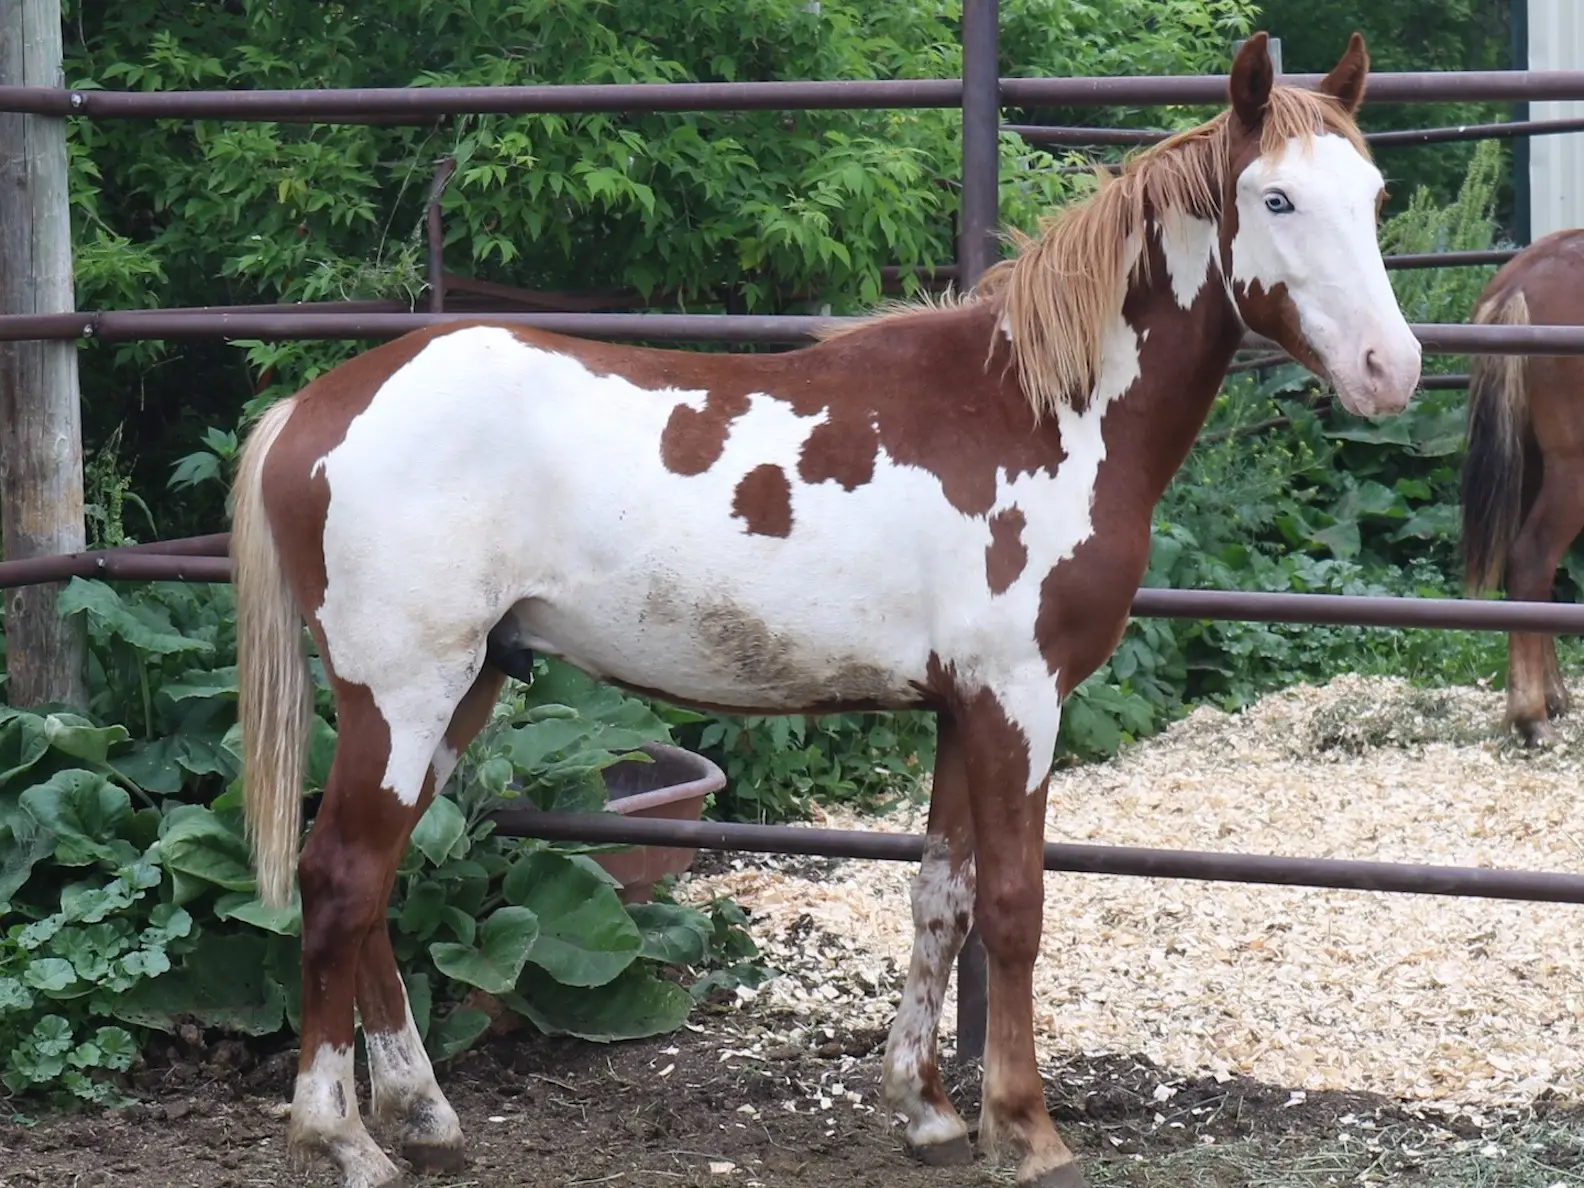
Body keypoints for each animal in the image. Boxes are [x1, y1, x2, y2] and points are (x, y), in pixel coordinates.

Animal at [229, 32, 1419, 1188]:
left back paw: (425, 1117)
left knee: (377, 880)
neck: (1040, 414)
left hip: (467, 685)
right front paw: (1026, 1129)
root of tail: (314, 409)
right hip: (405, 692)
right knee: (340, 879)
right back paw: (342, 1139)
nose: (1392, 369)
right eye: (1276, 199)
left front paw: (929, 1113)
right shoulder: (1018, 701)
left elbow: (942, 898)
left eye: (1372, 194)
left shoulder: (960, 710)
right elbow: (1014, 909)